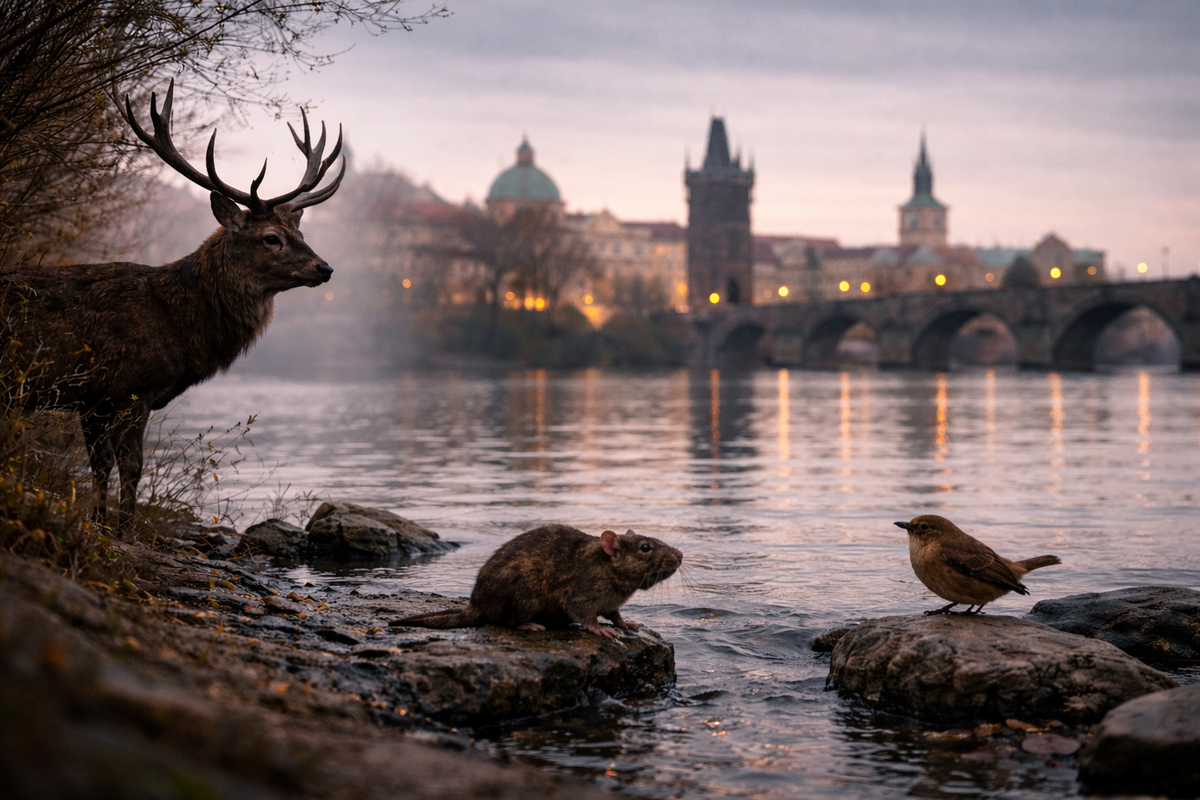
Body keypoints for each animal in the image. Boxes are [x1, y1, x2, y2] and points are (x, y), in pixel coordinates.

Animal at [1, 80, 345, 539]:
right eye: (272, 238)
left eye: (301, 233)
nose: (324, 268)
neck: (179, 326)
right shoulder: (130, 388)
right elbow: (131, 466)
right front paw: (124, 532)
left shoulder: (92, 399)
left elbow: (99, 466)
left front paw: (100, 526)